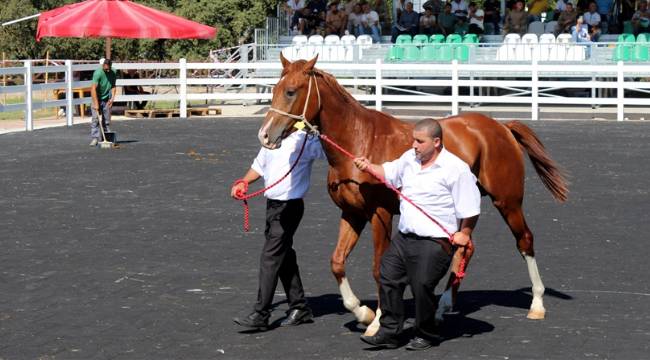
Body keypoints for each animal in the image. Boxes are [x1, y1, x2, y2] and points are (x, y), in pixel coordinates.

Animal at [256, 54, 564, 336]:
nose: (265, 136)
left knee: (524, 240)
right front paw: (363, 312)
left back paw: (537, 304)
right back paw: (442, 308)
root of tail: (501, 128)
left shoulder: (379, 214)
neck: (359, 141)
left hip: (507, 201)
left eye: (291, 91)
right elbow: (337, 262)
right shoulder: (352, 213)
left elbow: (378, 267)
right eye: (274, 88)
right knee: (465, 247)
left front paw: (378, 320)